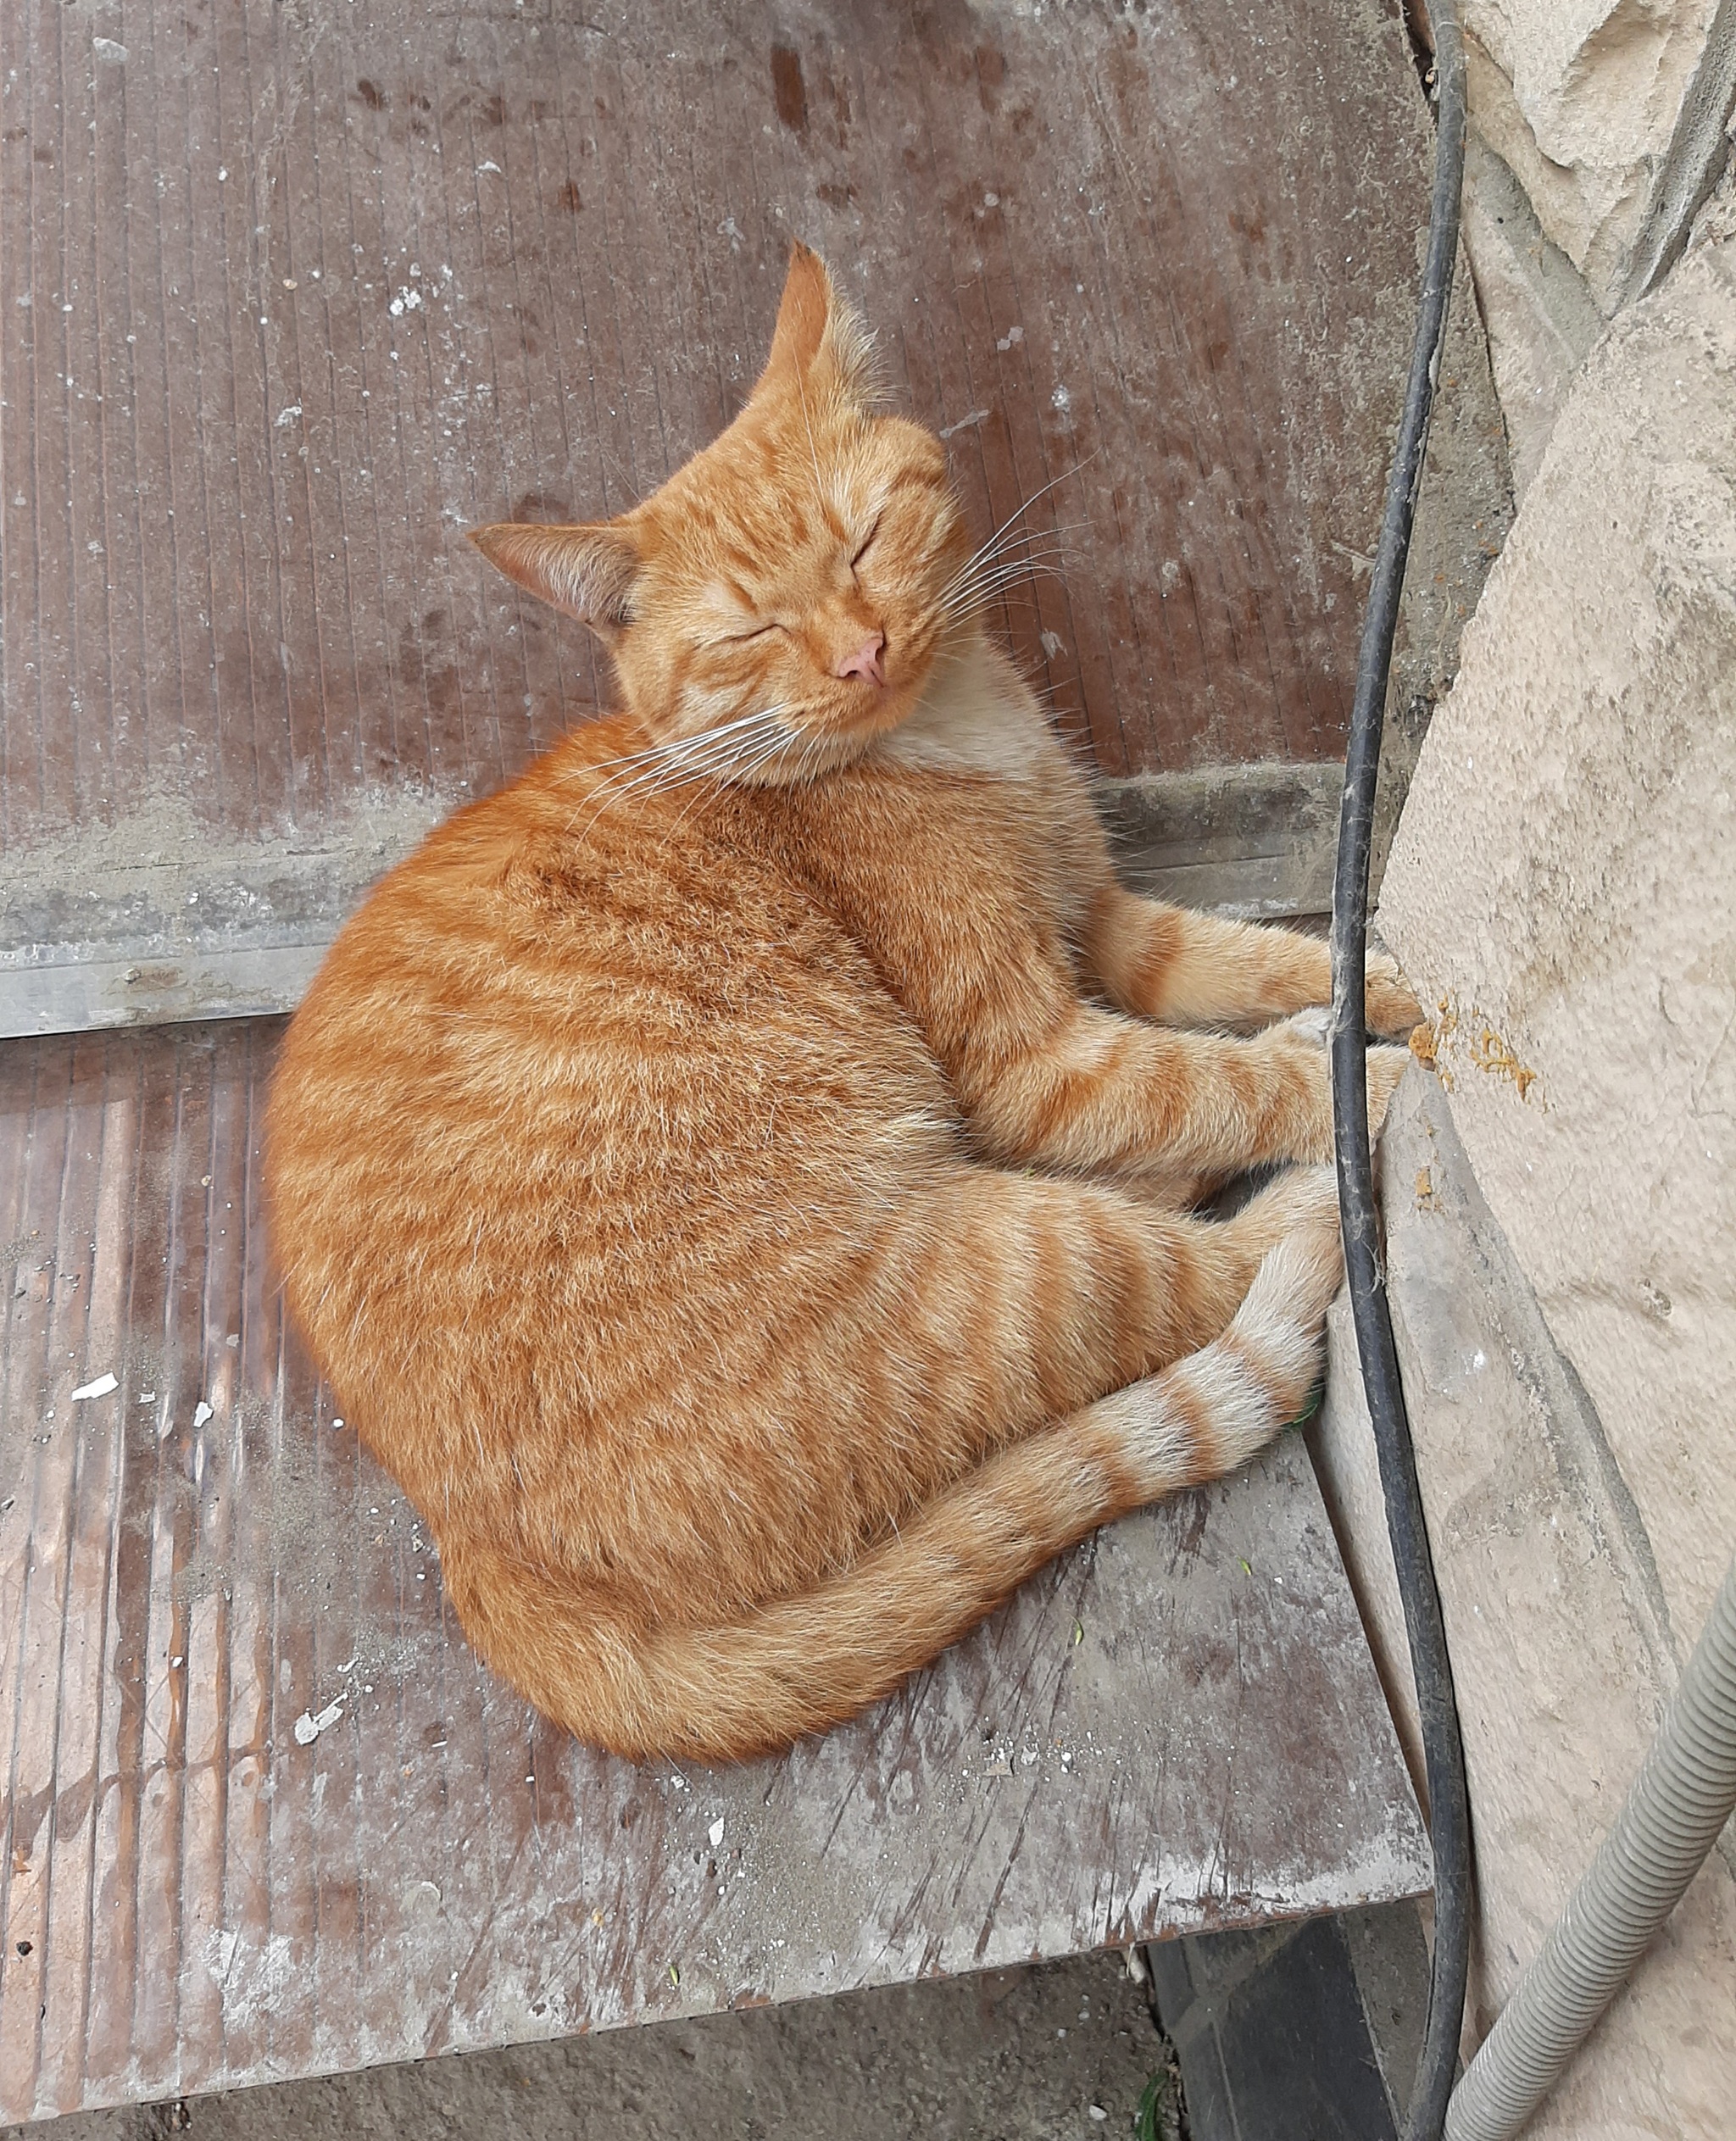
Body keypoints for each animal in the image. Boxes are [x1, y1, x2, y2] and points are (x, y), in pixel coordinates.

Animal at [264, 246, 1421, 1755]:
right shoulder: (1039, 1054)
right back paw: (1310, 1188)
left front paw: (1376, 981)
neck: (961, 734)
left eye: (867, 542)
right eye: (751, 631)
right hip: (1005, 1265)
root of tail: (480, 1560)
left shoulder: (1106, 926)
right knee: (1205, 1263)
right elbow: (1220, 1080)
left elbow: (1259, 959)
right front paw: (1402, 1062)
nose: (861, 653)